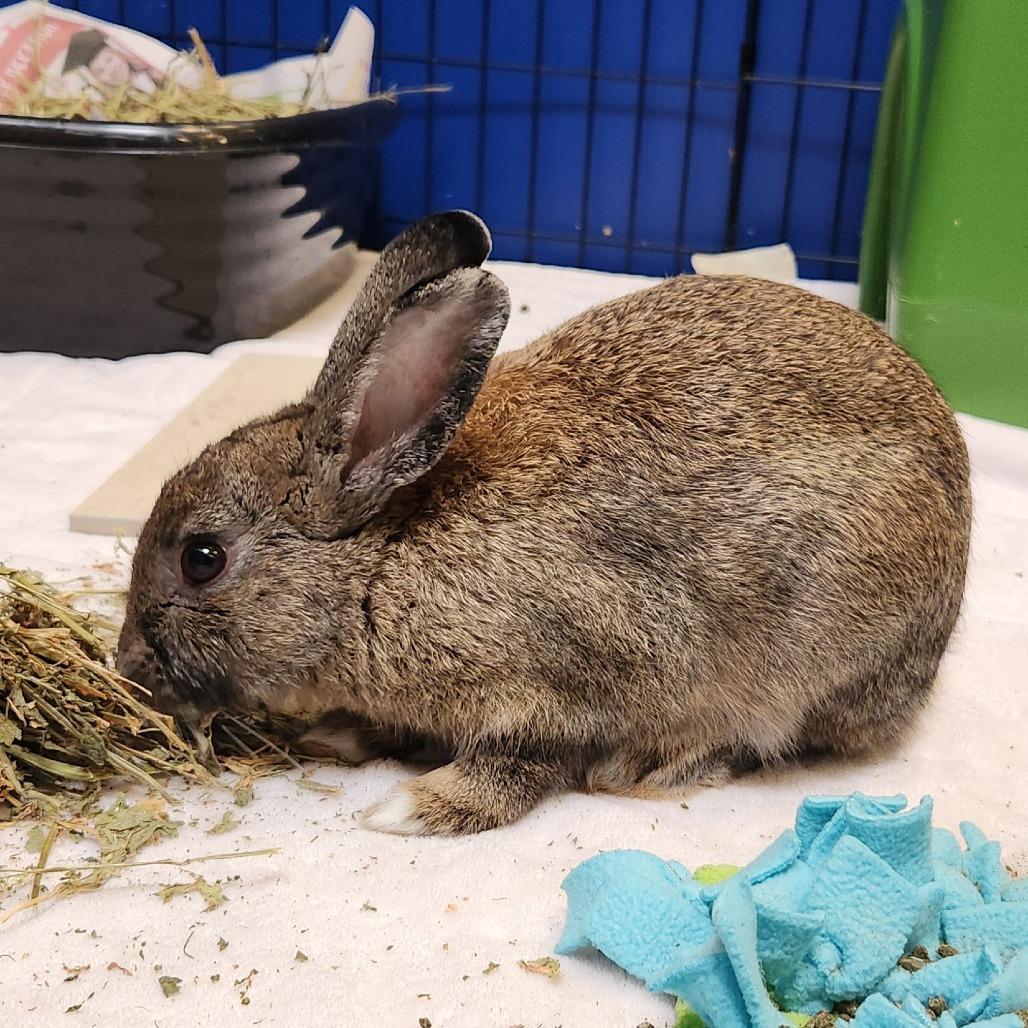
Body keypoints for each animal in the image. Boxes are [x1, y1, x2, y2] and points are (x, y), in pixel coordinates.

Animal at [116, 210, 972, 836]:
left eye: (202, 558)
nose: (129, 666)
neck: (382, 562)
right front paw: (340, 737)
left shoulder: (562, 687)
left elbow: (517, 768)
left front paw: (410, 806)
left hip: (810, 659)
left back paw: (653, 766)